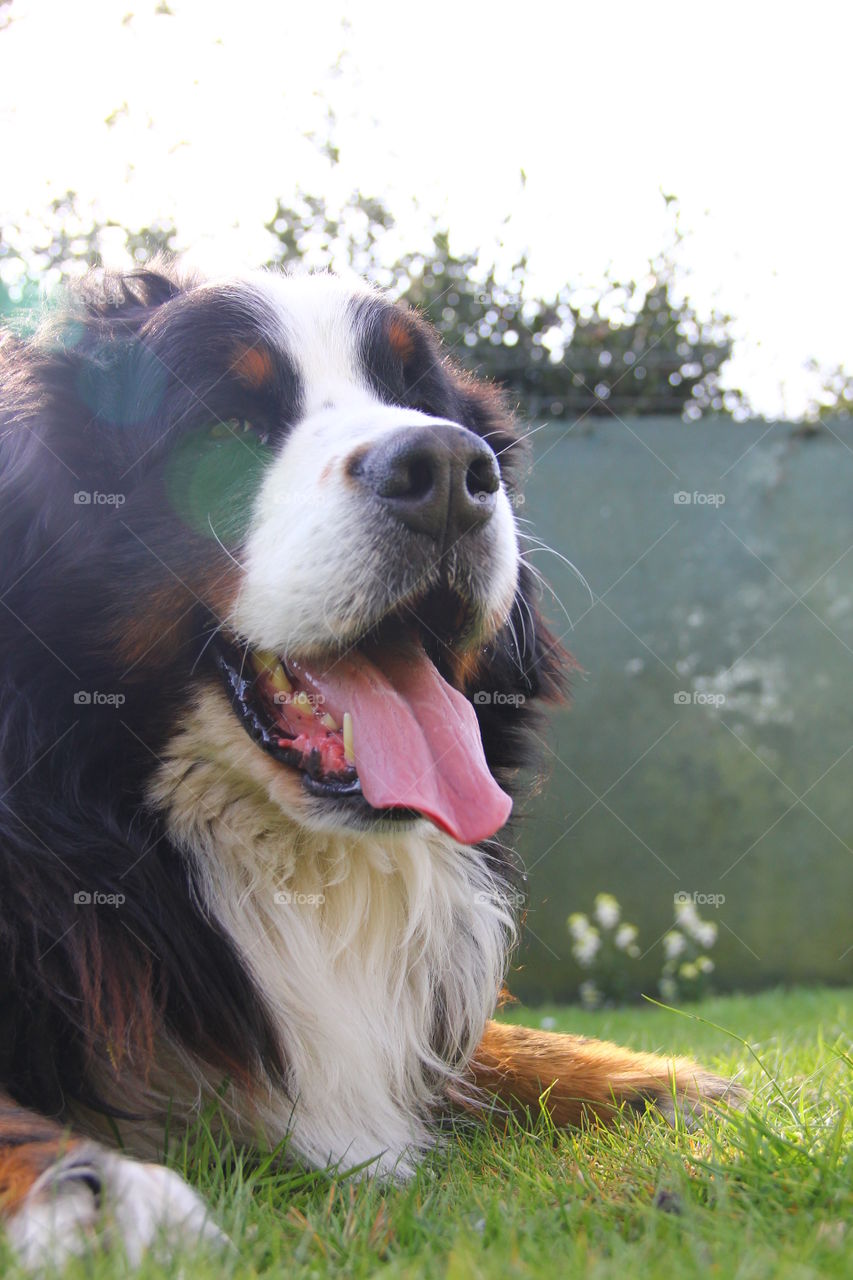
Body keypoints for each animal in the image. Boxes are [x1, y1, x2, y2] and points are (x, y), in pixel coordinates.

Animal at [0, 264, 732, 1264]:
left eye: (421, 400)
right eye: (226, 426)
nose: (452, 473)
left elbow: (468, 1042)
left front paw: (654, 1076)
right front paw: (91, 1195)